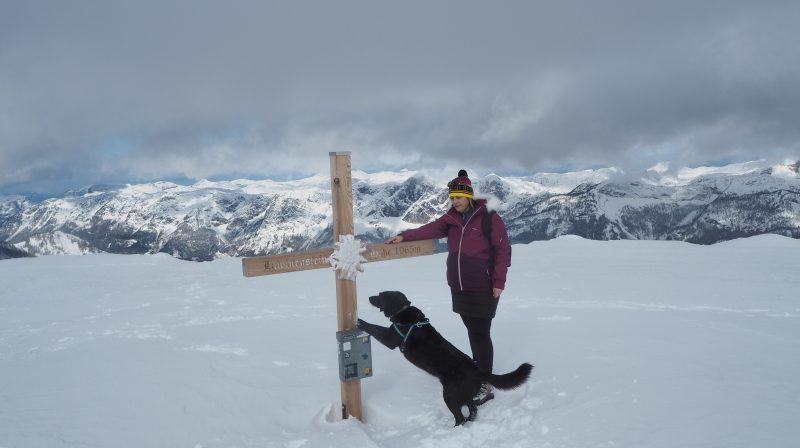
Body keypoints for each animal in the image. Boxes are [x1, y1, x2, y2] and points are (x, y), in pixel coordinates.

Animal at [354, 290, 532, 428]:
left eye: (380, 295)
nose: (369, 297)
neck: (403, 312)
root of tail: (478, 371)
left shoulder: (390, 338)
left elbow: (374, 328)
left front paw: (360, 321)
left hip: (450, 395)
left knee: (460, 417)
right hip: (463, 394)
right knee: (472, 409)